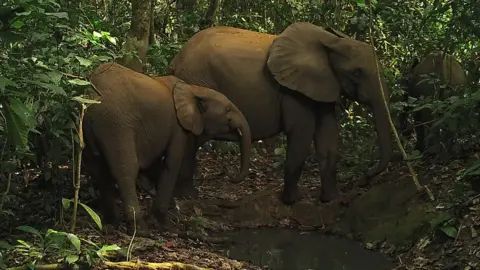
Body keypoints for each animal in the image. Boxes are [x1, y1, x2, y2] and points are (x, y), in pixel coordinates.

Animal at [82, 62, 251, 235]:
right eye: (228, 110)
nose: (230, 174)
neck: (194, 89)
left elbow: (155, 166)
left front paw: (171, 209)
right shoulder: (178, 127)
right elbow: (172, 163)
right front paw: (161, 222)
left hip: (91, 127)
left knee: (98, 168)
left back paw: (110, 224)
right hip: (118, 124)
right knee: (126, 170)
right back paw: (140, 229)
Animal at [167, 22, 392, 205]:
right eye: (356, 73)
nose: (364, 178)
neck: (331, 40)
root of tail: (176, 61)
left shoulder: (323, 84)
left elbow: (328, 134)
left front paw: (332, 200)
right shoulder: (292, 89)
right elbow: (302, 132)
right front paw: (293, 200)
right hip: (196, 80)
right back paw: (187, 195)